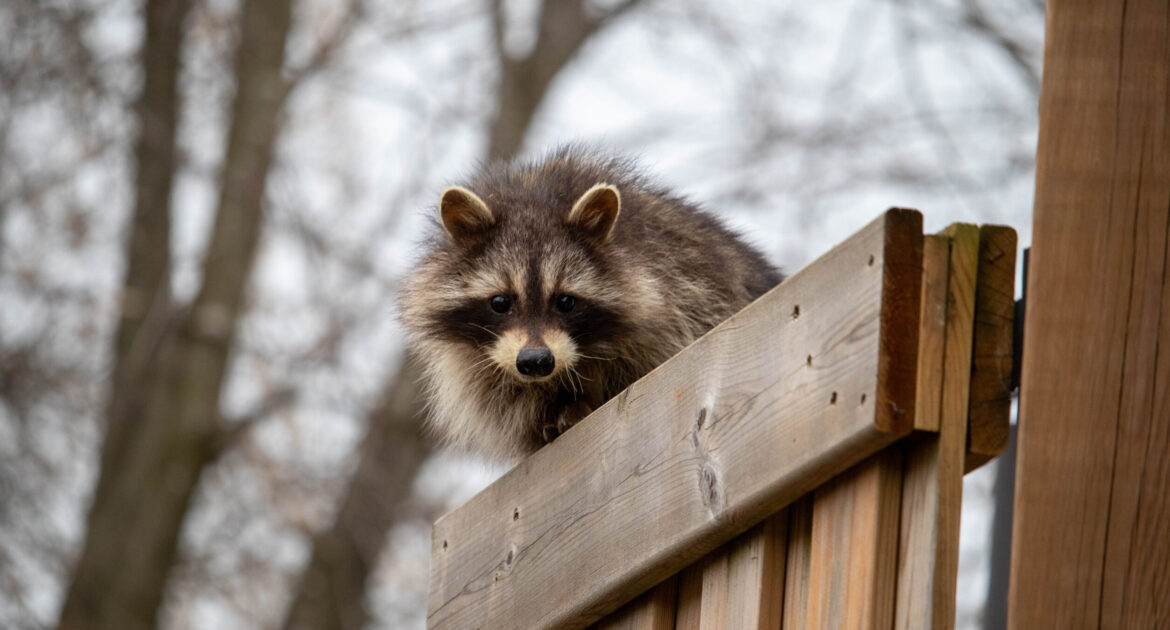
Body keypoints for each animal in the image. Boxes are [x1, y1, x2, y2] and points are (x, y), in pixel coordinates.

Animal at [399, 147, 783, 460]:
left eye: (566, 301)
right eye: (500, 302)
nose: (536, 361)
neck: (535, 195)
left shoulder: (684, 303)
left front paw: (576, 404)